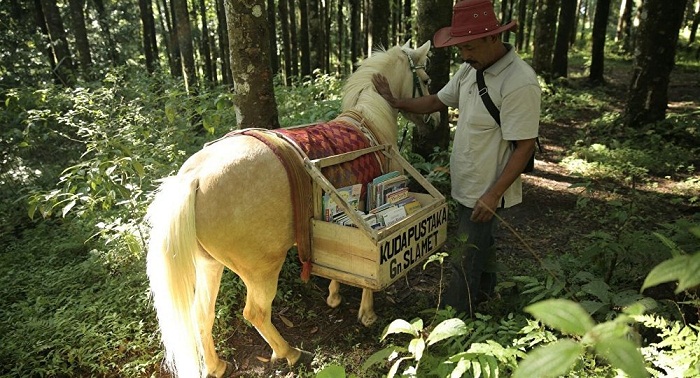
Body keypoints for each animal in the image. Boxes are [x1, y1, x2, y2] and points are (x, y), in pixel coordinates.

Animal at [148, 41, 440, 378]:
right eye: (427, 80)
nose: (435, 120)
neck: (368, 123)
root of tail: (194, 178)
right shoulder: (369, 220)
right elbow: (367, 278)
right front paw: (366, 313)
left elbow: (337, 265)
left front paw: (334, 295)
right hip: (261, 269)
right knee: (256, 312)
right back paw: (290, 352)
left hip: (209, 264)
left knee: (202, 313)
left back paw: (216, 365)